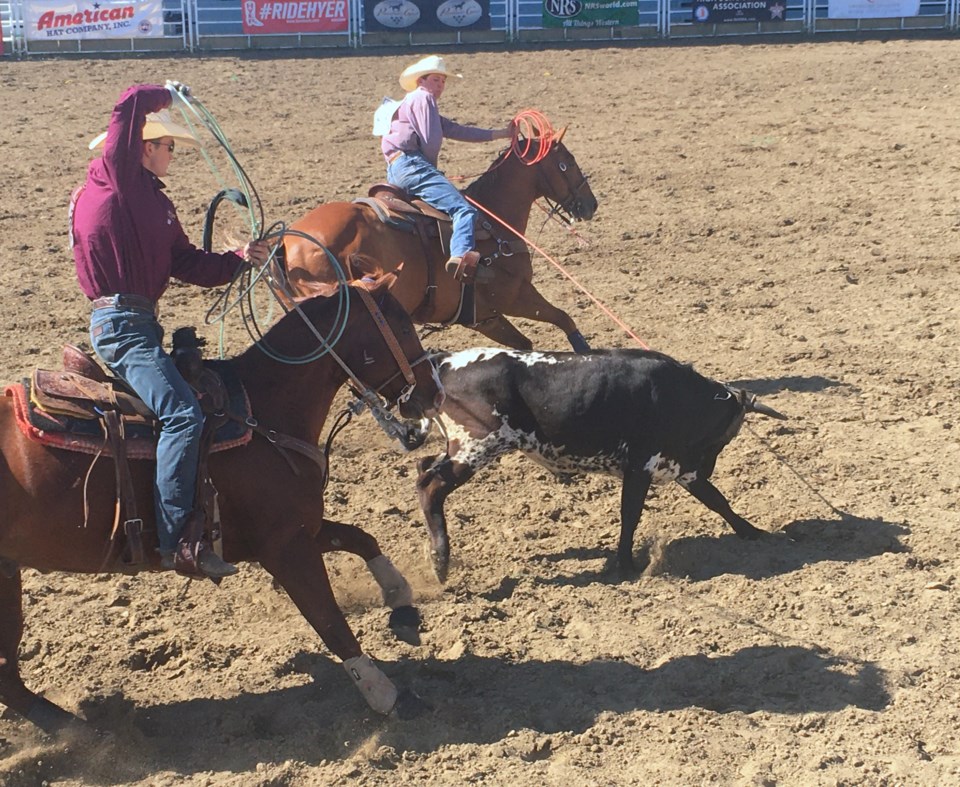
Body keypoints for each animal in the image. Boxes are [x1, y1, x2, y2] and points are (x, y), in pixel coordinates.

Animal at [0, 276, 442, 732]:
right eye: (403, 326)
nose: (433, 393)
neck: (263, 411)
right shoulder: (284, 548)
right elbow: (329, 620)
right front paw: (388, 696)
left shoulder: (294, 531)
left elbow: (361, 538)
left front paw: (403, 606)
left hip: (7, 573)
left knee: (7, 674)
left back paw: (72, 727)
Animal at [282, 137, 600, 352]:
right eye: (567, 162)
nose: (591, 204)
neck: (491, 220)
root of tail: (286, 244)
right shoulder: (515, 296)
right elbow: (564, 319)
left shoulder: (484, 318)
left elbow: (524, 345)